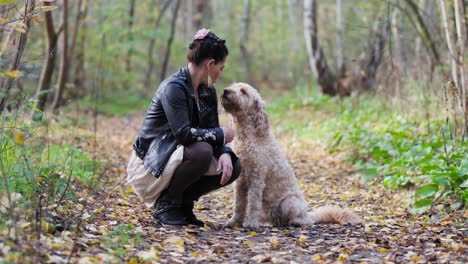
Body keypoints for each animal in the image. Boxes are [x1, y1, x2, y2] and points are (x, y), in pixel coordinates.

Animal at [221, 82, 364, 229]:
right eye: (233, 86)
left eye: (243, 91)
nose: (226, 91)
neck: (248, 137)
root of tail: (307, 214)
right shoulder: (240, 182)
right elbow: (238, 205)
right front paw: (234, 222)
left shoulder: (256, 178)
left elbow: (253, 204)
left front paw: (250, 223)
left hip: (289, 202)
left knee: (304, 221)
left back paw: (296, 222)